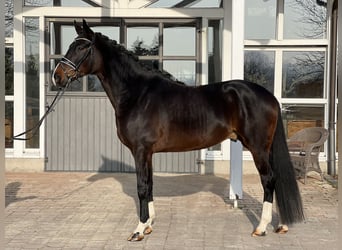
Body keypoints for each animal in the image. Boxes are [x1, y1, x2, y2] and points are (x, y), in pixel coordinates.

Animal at [52, 19, 304, 240]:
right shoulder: (147, 153)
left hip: (258, 147)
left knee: (268, 180)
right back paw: (280, 225)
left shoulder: (140, 150)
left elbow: (142, 187)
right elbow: (149, 185)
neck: (137, 93)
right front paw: (149, 225)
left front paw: (138, 230)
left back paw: (261, 228)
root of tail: (269, 96)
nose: (57, 76)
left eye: (82, 47)